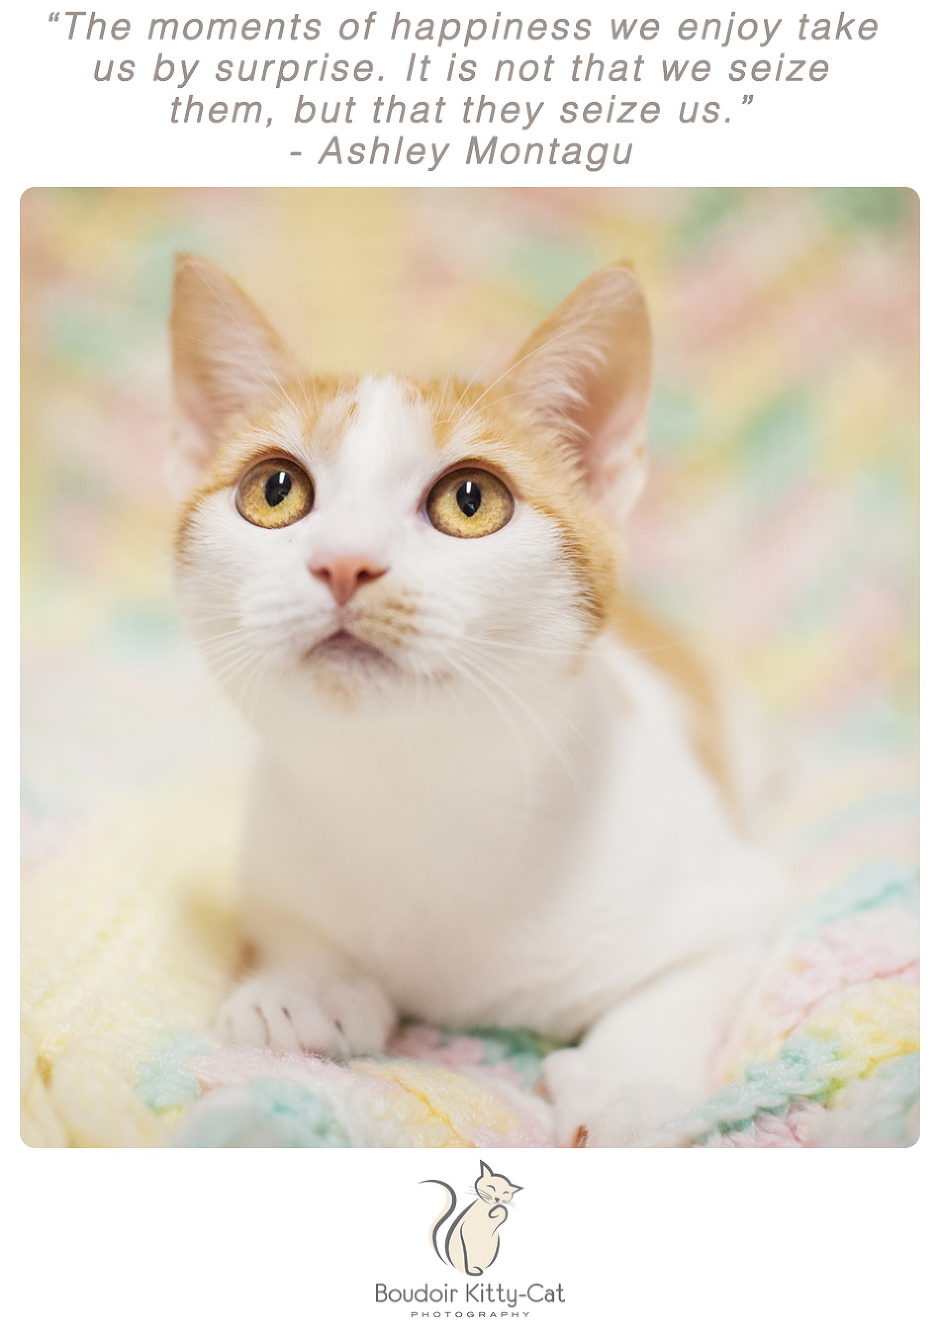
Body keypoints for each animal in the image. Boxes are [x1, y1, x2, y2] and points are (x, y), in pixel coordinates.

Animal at [169, 252, 786, 1149]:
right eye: (274, 489)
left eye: (471, 500)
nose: (344, 562)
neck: (424, 790)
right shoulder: (275, 858)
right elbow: (291, 927)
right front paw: (304, 987)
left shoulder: (729, 906)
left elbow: (678, 988)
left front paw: (627, 1083)